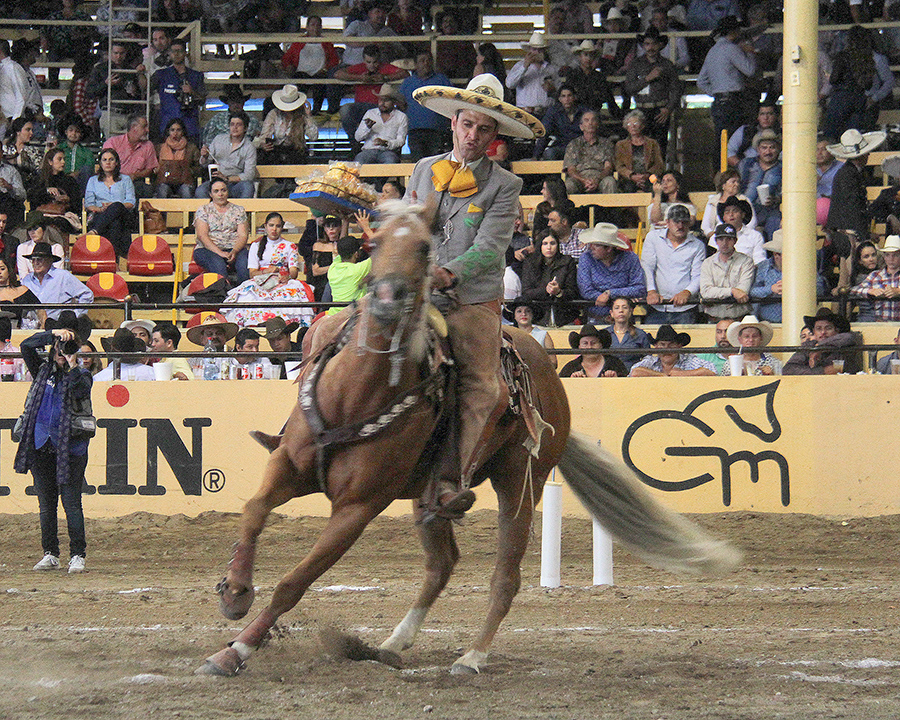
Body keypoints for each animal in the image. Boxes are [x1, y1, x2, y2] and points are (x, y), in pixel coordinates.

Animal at [199, 202, 740, 676]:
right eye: (374, 243)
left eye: (423, 247)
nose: (388, 298)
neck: (357, 393)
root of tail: (552, 384)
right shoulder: (288, 467)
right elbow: (253, 512)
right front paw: (235, 592)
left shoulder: (357, 508)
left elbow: (295, 581)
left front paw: (235, 651)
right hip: (427, 496)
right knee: (442, 565)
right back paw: (391, 644)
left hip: (520, 483)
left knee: (506, 576)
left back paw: (471, 657)